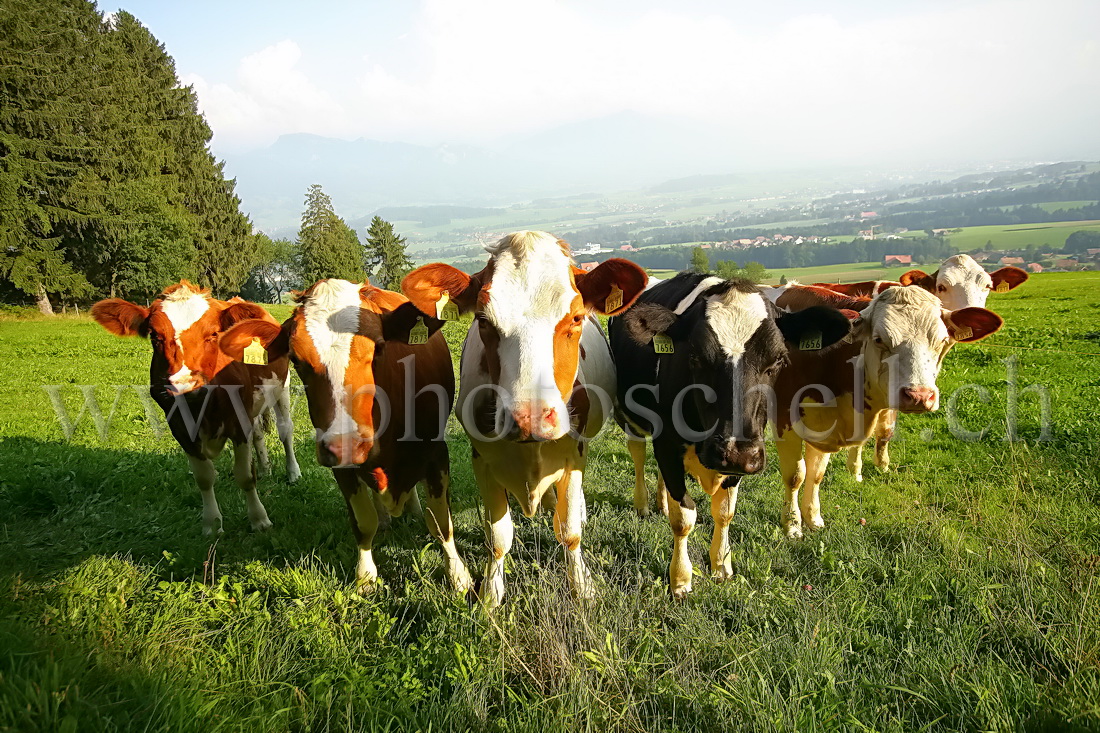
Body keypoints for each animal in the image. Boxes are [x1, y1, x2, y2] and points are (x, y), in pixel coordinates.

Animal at [91, 281, 301, 534]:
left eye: (213, 334)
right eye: (155, 336)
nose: (183, 385)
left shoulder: (239, 422)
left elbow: (244, 475)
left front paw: (259, 519)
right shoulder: (180, 428)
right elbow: (204, 477)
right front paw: (212, 523)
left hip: (283, 387)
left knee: (285, 430)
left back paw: (293, 472)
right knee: (259, 434)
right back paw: (265, 468)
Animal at [221, 279, 475, 594]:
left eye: (378, 348)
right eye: (296, 360)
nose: (347, 445)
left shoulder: (436, 452)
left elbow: (440, 521)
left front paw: (458, 574)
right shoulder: (340, 466)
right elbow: (363, 522)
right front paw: (365, 576)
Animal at [402, 230, 646, 603]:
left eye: (576, 318)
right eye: (483, 320)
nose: (529, 418)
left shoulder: (573, 454)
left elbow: (569, 531)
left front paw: (582, 586)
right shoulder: (482, 459)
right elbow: (498, 537)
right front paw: (490, 596)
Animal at [611, 270, 849, 598]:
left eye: (777, 360)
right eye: (695, 358)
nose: (735, 451)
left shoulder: (740, 461)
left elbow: (724, 512)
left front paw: (721, 566)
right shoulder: (668, 444)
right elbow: (684, 518)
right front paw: (680, 580)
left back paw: (661, 503)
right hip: (628, 412)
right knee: (637, 453)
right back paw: (644, 504)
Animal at [774, 286, 1007, 537]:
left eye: (943, 341)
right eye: (878, 339)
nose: (919, 395)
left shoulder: (823, 427)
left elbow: (816, 474)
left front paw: (813, 517)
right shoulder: (784, 420)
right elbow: (795, 476)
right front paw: (792, 525)